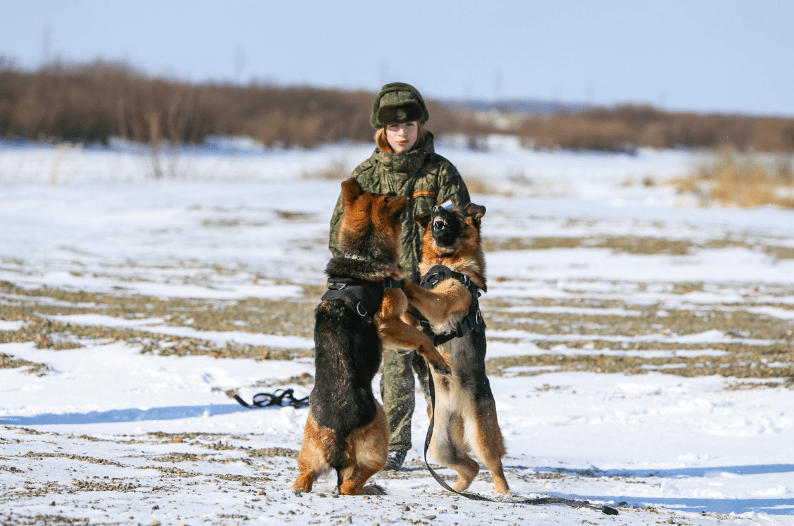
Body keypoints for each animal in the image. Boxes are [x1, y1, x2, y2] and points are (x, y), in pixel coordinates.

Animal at [292, 179, 452, 498]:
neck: (362, 256)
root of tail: (338, 433)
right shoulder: (388, 324)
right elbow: (422, 338)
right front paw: (438, 360)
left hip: (307, 455)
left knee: (305, 479)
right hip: (380, 435)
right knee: (350, 484)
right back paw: (372, 487)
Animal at [402, 204, 508, 498]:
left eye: (457, 213)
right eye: (435, 212)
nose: (438, 207)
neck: (445, 262)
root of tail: (455, 410)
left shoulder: (445, 298)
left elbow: (427, 294)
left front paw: (398, 279)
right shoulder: (414, 317)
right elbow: (410, 320)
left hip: (481, 436)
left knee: (493, 464)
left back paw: (505, 493)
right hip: (439, 445)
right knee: (470, 467)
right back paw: (455, 489)